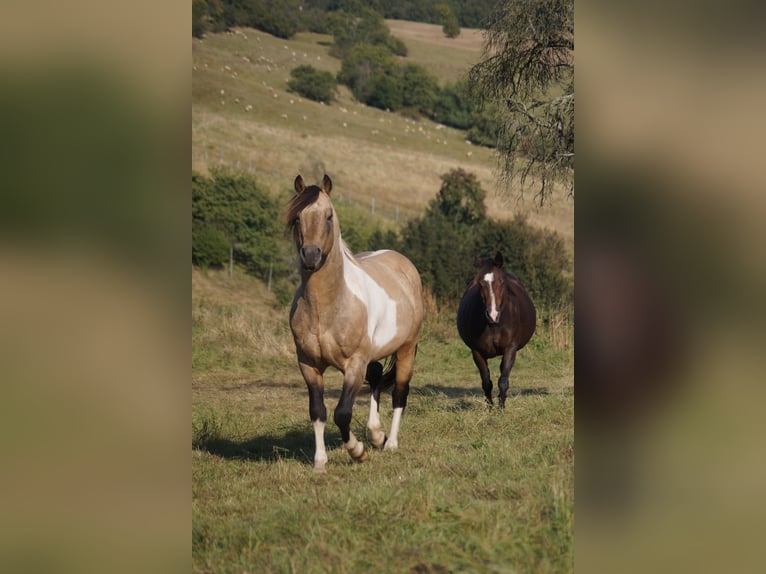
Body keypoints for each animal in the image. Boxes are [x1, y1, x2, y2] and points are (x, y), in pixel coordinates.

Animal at [288, 174, 426, 472]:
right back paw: (376, 434)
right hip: (374, 354)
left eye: (329, 216)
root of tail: (402, 262)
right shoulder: (308, 365)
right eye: (297, 217)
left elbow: (342, 413)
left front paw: (357, 451)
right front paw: (320, 462)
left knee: (399, 393)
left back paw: (390, 443)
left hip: (406, 349)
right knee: (375, 379)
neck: (326, 308)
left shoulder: (353, 364)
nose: (311, 256)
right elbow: (318, 411)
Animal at [460, 252, 536, 410]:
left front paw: (501, 407)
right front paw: (490, 408)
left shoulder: (510, 349)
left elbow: (503, 380)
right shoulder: (477, 352)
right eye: (480, 283)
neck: (494, 325)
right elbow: (486, 382)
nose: (492, 314)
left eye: (501, 282)